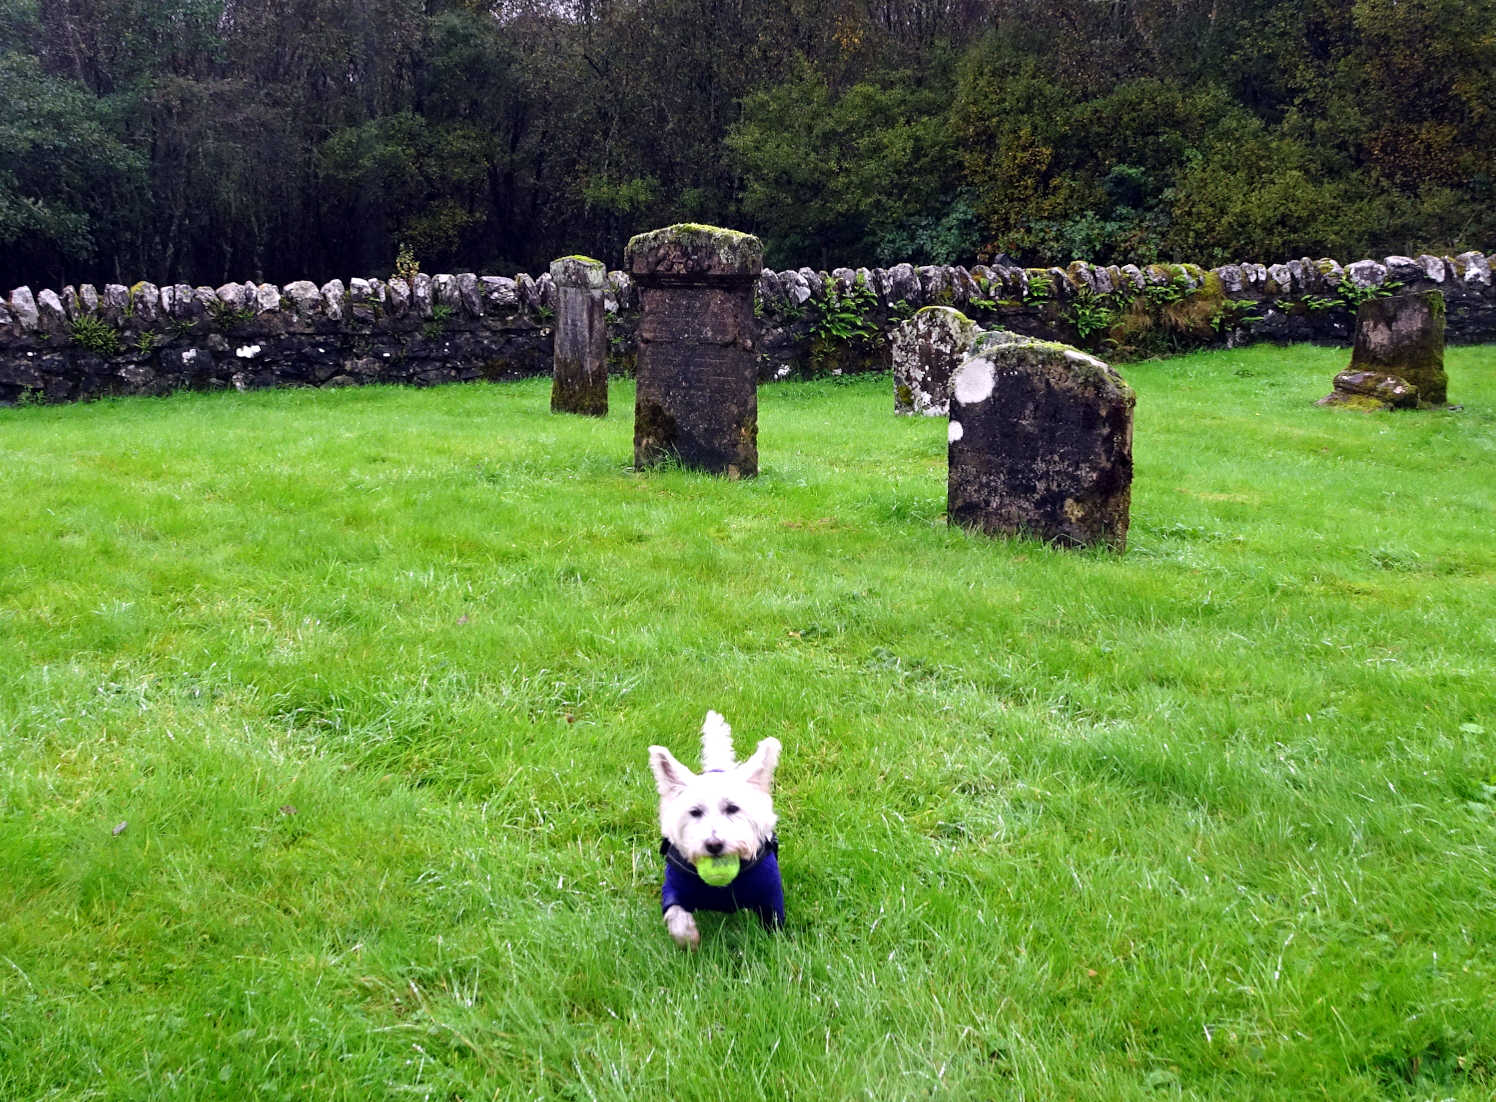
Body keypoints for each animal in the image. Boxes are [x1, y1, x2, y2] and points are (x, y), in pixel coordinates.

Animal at [646, 714, 783, 944]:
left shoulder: (769, 894)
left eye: (732, 808)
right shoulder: (675, 890)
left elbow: (773, 923)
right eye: (695, 812)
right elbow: (676, 916)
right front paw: (689, 939)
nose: (714, 845)